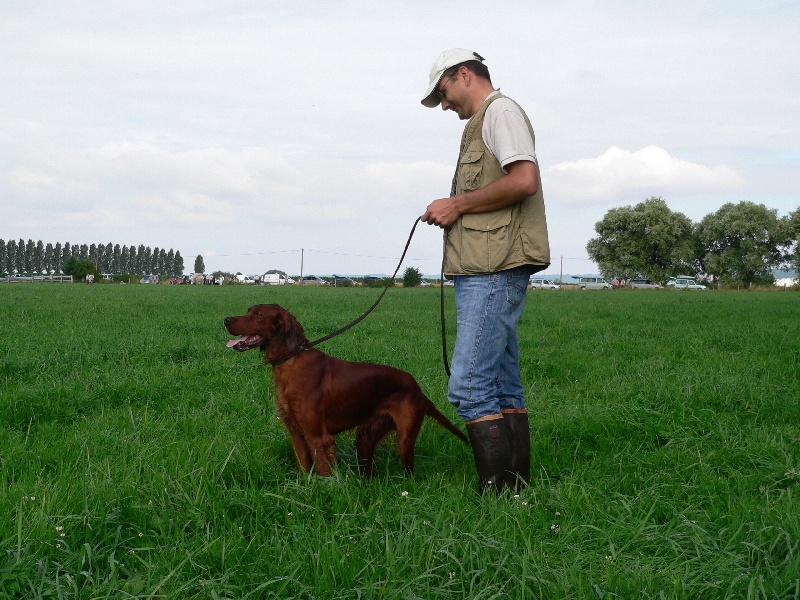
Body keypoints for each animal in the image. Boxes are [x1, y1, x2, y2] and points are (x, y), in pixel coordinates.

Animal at [225, 304, 466, 478]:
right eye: (248, 310)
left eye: (258, 314)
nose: (226, 319)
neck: (290, 362)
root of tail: (417, 387)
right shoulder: (296, 433)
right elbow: (304, 469)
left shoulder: (318, 436)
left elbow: (323, 471)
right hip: (365, 437)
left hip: (405, 440)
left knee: (409, 471)